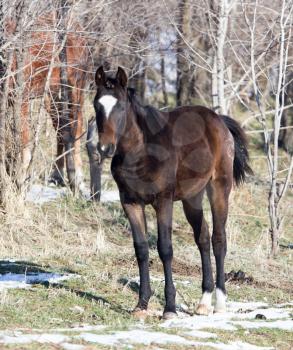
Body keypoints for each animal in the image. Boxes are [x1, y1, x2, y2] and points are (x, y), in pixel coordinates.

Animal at [93, 66, 251, 320]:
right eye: (97, 105)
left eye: (121, 106)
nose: (105, 148)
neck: (141, 151)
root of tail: (219, 121)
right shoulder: (130, 203)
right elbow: (141, 249)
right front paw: (141, 305)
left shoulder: (163, 201)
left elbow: (165, 249)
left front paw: (169, 309)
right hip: (191, 198)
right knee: (202, 237)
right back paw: (204, 302)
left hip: (219, 188)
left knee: (218, 239)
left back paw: (220, 303)